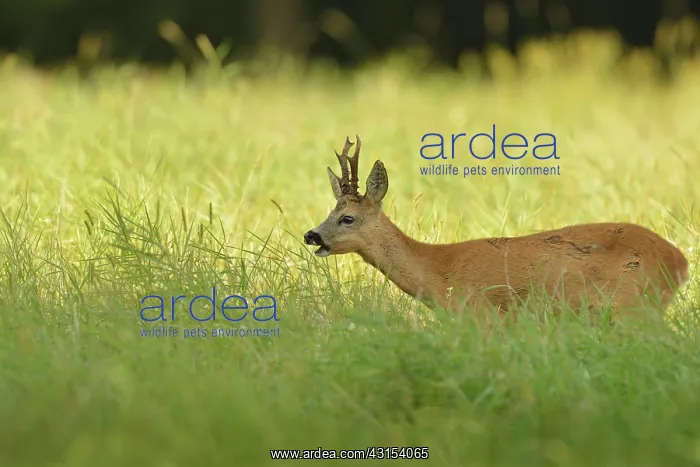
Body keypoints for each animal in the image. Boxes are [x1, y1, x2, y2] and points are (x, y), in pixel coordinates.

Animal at [303, 135, 691, 322]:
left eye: (347, 218)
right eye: (330, 211)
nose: (312, 235)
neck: (437, 271)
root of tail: (680, 261)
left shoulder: (483, 315)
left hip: (634, 305)